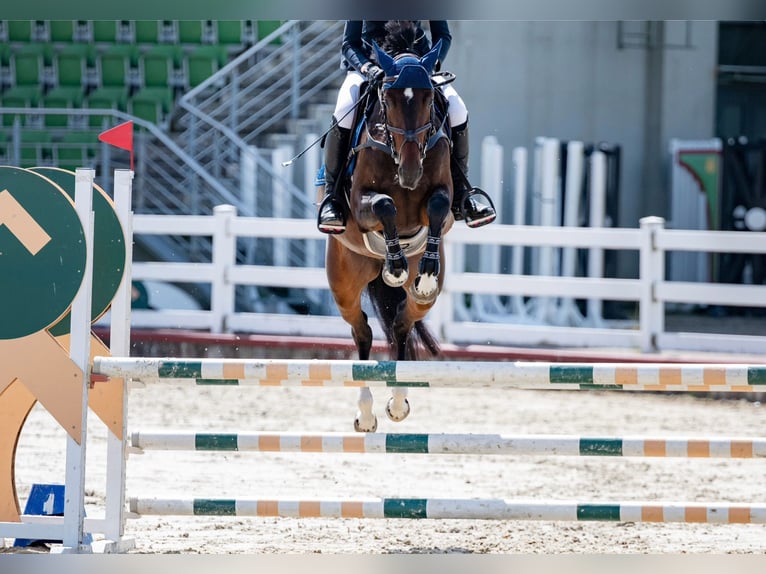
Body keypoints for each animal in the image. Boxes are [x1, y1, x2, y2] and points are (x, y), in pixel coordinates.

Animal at [324, 26, 454, 432]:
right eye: (389, 97)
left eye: (428, 98)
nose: (410, 172)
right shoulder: (361, 204)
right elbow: (384, 204)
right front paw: (394, 265)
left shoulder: (442, 200)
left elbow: (438, 206)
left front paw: (424, 270)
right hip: (344, 282)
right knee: (362, 331)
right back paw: (365, 413)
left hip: (421, 303)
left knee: (400, 324)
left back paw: (397, 403)